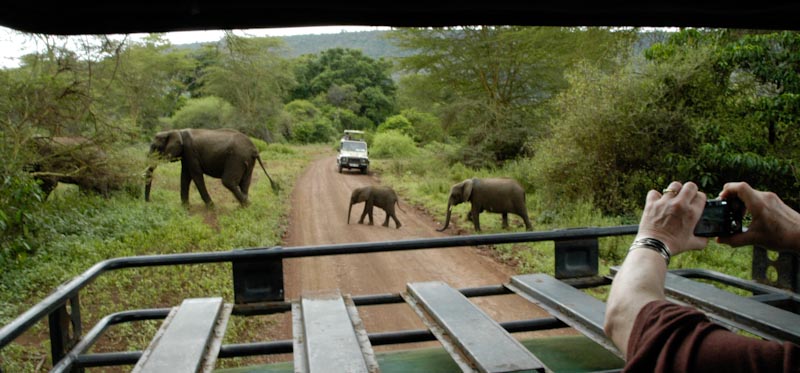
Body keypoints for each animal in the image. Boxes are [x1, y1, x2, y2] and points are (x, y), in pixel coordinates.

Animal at [144, 129, 278, 206]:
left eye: (155, 147)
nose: (148, 202)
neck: (175, 131)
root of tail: (254, 149)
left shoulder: (190, 152)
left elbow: (195, 175)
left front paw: (211, 206)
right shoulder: (186, 155)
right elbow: (185, 176)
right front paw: (185, 207)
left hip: (236, 158)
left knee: (228, 181)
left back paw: (246, 204)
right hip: (247, 161)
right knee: (245, 182)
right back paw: (243, 205)